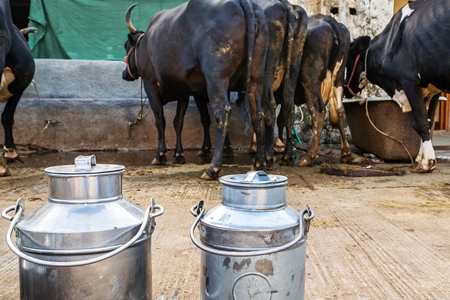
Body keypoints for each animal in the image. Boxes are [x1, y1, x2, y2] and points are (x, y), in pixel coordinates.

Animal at [122, 1, 268, 179]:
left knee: (222, 114)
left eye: (126, 46)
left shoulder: (150, 86)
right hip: (256, 77)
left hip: (216, 79)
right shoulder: (185, 92)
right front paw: (178, 155)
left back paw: (213, 168)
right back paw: (259, 162)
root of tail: (242, 3)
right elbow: (178, 121)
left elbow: (160, 120)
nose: (124, 74)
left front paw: (160, 155)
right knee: (257, 114)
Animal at [288, 14, 352, 166]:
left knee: (318, 111)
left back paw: (308, 157)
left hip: (309, 80)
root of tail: (328, 20)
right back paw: (346, 153)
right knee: (340, 110)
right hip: (339, 78)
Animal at [344, 0, 450, 173]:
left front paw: (427, 162)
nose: (345, 88)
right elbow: (428, 120)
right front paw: (420, 158)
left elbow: (421, 122)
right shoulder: (433, 88)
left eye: (348, 58)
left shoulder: (409, 80)